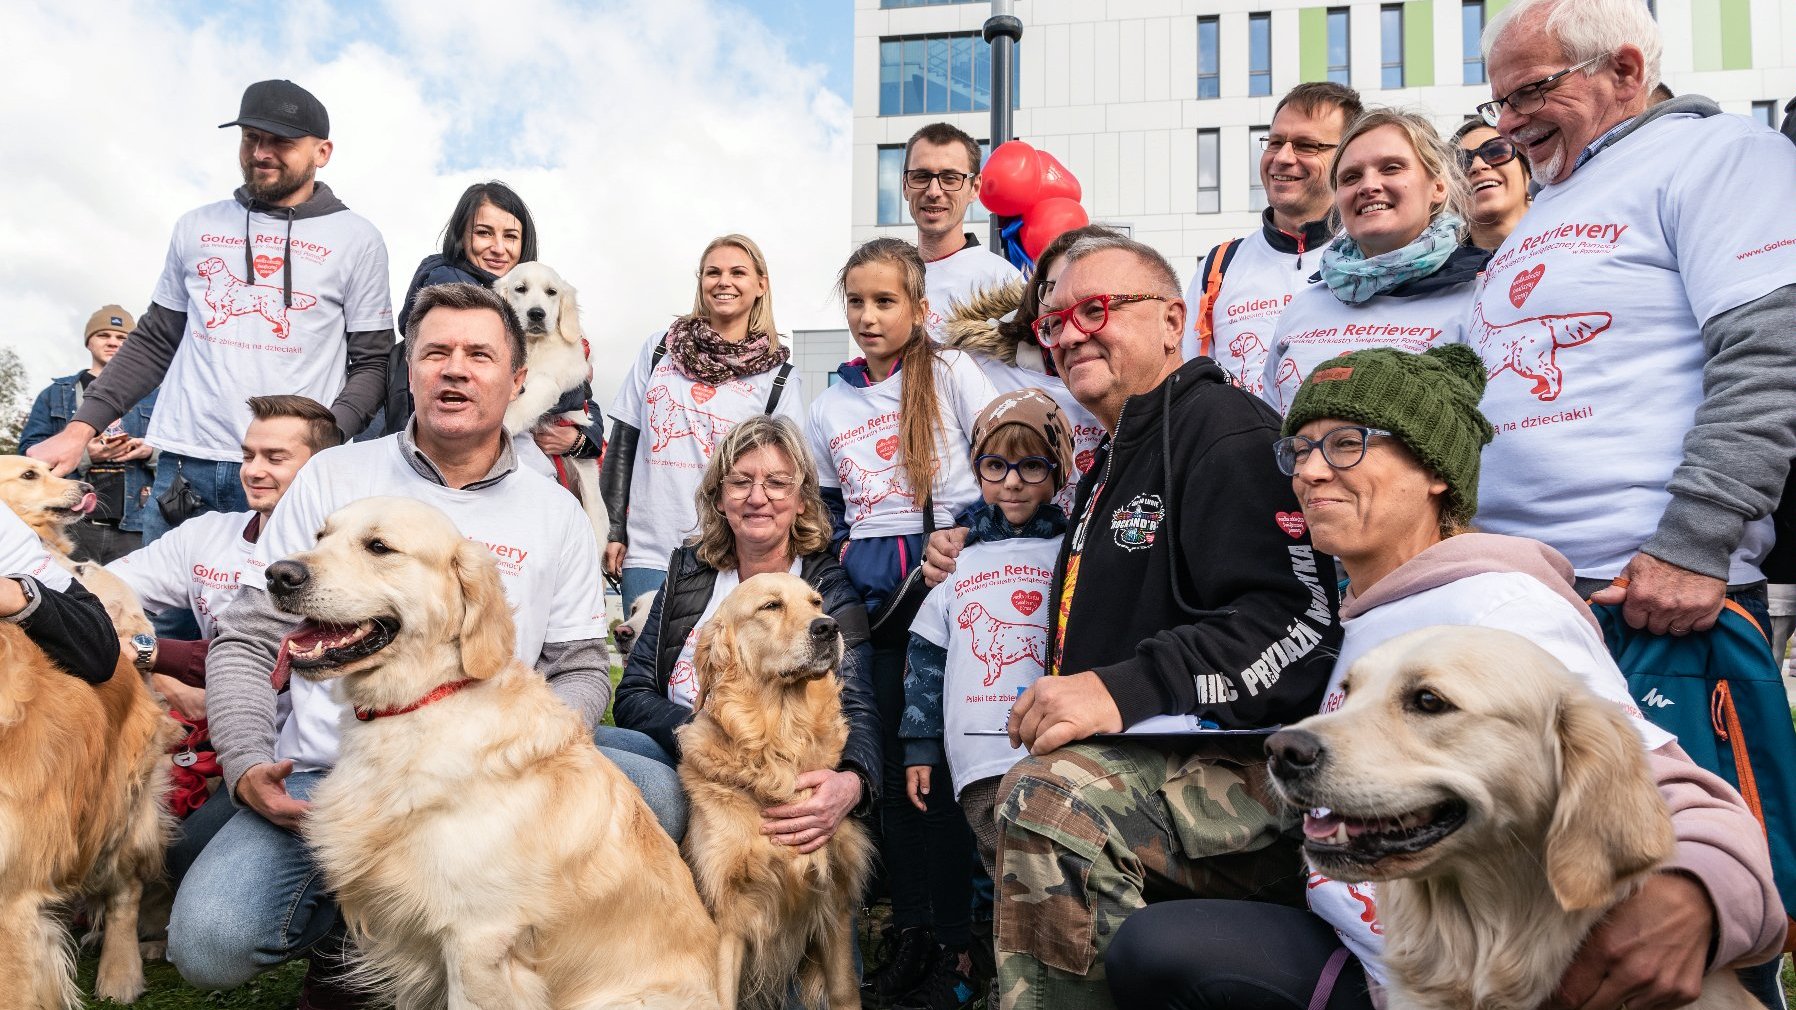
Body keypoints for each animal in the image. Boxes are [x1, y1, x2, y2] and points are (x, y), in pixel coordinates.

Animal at [495, 264, 607, 539]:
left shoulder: (562, 375)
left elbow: (537, 390)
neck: (533, 346)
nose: (537, 314)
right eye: (520, 288)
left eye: (551, 292)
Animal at [675, 571, 872, 999]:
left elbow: (844, 993)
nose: (828, 627)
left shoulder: (834, 907)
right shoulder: (725, 921)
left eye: (816, 602)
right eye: (771, 606)